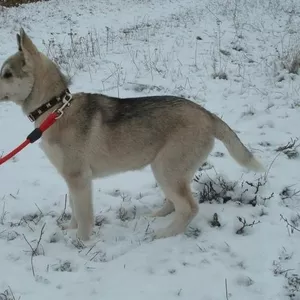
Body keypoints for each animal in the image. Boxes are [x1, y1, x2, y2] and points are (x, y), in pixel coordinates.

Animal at [0, 29, 264, 241]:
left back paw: (165, 234)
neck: (55, 109)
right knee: (177, 202)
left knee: (189, 207)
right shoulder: (70, 177)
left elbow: (84, 215)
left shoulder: (79, 178)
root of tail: (207, 114)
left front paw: (81, 243)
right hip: (171, 170)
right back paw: (159, 216)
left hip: (166, 168)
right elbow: (74, 209)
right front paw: (70, 229)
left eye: (7, 74)